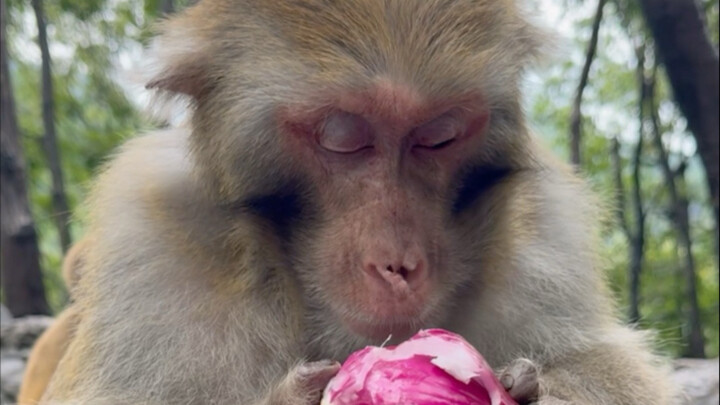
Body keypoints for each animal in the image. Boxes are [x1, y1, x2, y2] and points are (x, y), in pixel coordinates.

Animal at [41, 1, 676, 404]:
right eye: (342, 138)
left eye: (438, 137)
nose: (398, 263)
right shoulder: (154, 230)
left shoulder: (544, 218)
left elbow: (601, 362)